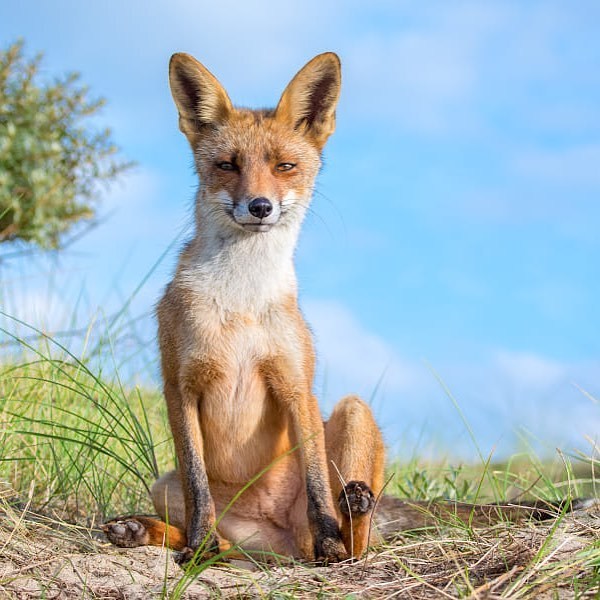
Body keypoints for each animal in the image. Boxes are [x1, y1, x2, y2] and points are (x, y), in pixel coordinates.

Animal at [103, 54, 596, 564]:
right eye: (227, 165)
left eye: (284, 166)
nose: (259, 207)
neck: (241, 304)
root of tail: (277, 541)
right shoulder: (180, 386)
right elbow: (198, 488)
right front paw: (197, 547)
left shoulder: (296, 386)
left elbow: (318, 484)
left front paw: (328, 539)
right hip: (168, 488)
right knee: (213, 533)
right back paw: (150, 531)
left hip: (355, 413)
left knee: (360, 534)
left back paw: (347, 524)